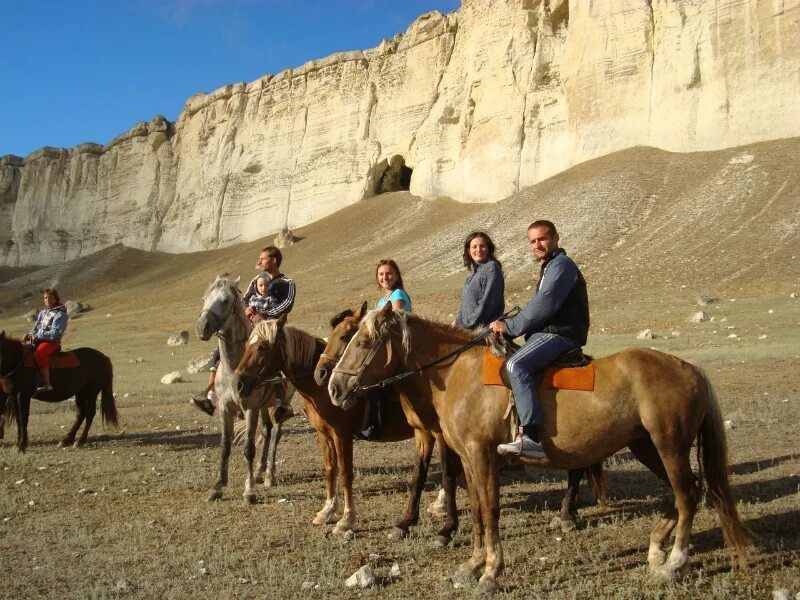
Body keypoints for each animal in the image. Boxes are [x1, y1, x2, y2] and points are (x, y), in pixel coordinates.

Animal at [194, 274, 294, 504]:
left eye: (225, 301)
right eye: (204, 299)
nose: (202, 327)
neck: (234, 366)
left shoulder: (250, 408)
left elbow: (249, 447)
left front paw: (249, 491)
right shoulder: (225, 408)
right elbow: (225, 445)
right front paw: (218, 487)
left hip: (279, 404)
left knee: (275, 432)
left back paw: (269, 475)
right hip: (264, 406)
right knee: (266, 430)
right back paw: (259, 471)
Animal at [228, 314, 460, 544]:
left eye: (263, 347)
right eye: (247, 345)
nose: (237, 384)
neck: (319, 389)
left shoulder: (342, 436)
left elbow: (346, 474)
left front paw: (346, 520)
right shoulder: (323, 435)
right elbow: (330, 470)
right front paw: (328, 510)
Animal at [316, 302, 604, 532]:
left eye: (359, 341)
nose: (332, 387)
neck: (450, 370)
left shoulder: (443, 435)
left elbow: (447, 476)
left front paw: (447, 527)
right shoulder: (423, 434)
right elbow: (418, 475)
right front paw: (406, 522)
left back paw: (566, 515)